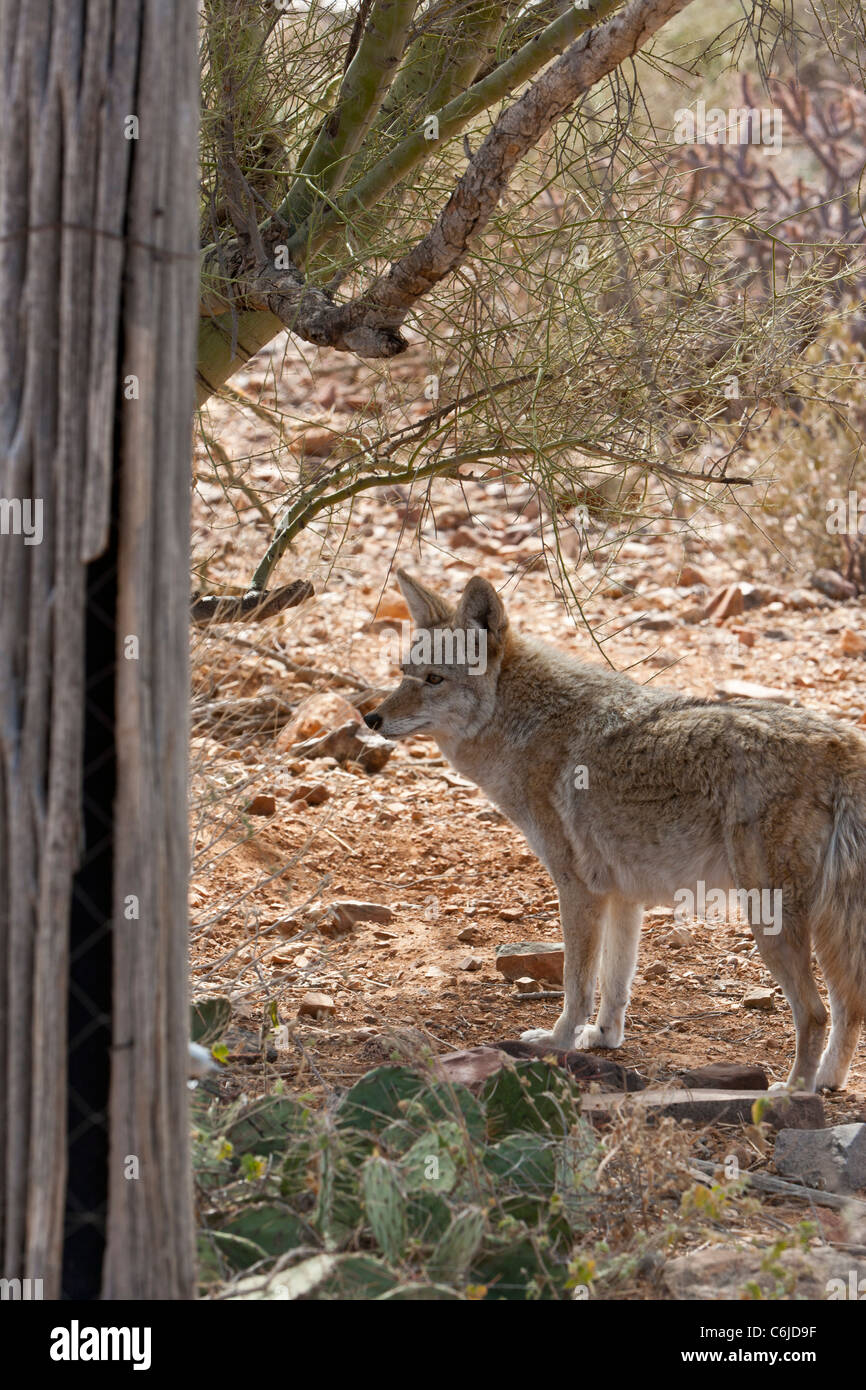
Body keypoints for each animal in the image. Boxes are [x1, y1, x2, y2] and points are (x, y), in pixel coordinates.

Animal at [366, 569, 866, 1089]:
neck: (526, 726)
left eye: (434, 679)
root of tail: (845, 744)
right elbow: (615, 982)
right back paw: (828, 1080)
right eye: (404, 673)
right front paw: (604, 1039)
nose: (371, 718)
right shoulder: (625, 896)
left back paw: (795, 1092)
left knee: (815, 1012)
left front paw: (558, 1042)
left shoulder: (577, 888)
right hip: (827, 922)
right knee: (852, 1003)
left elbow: (578, 983)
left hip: (772, 917)